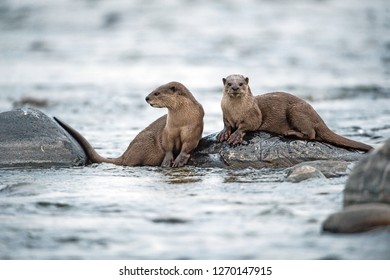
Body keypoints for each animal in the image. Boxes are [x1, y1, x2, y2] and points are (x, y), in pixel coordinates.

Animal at [57, 82, 207, 167]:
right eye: (153, 90)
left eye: (157, 93)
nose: (147, 98)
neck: (181, 121)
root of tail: (125, 154)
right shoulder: (168, 130)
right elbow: (168, 146)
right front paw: (167, 161)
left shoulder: (194, 129)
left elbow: (187, 146)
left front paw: (179, 160)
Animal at [218, 73, 374, 152]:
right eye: (229, 84)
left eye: (241, 83)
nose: (235, 88)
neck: (236, 112)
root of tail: (318, 118)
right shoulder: (225, 114)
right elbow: (227, 124)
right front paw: (223, 133)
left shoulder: (254, 114)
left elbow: (247, 125)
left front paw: (236, 135)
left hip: (296, 111)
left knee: (311, 134)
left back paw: (290, 133)